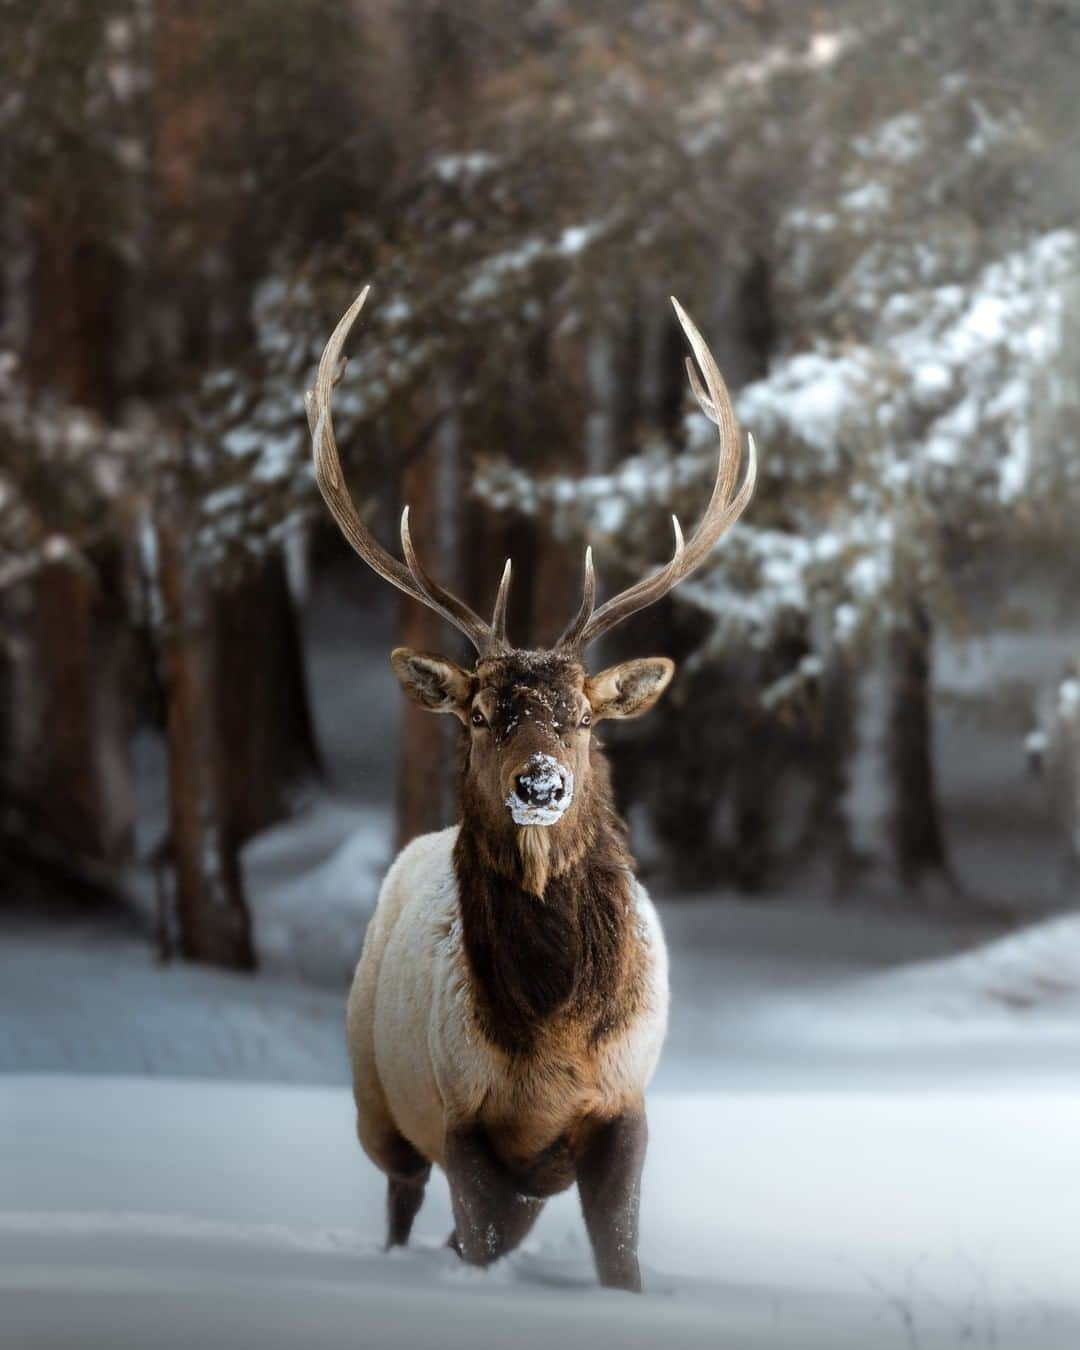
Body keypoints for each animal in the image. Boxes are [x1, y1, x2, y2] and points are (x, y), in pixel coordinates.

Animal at [307, 290, 756, 1290]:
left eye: (582, 718)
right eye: (482, 715)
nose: (541, 781)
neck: (552, 1047)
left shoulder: (623, 1109)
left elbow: (618, 1260)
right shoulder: (462, 1118)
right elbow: (473, 1241)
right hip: (373, 1096)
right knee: (402, 1203)